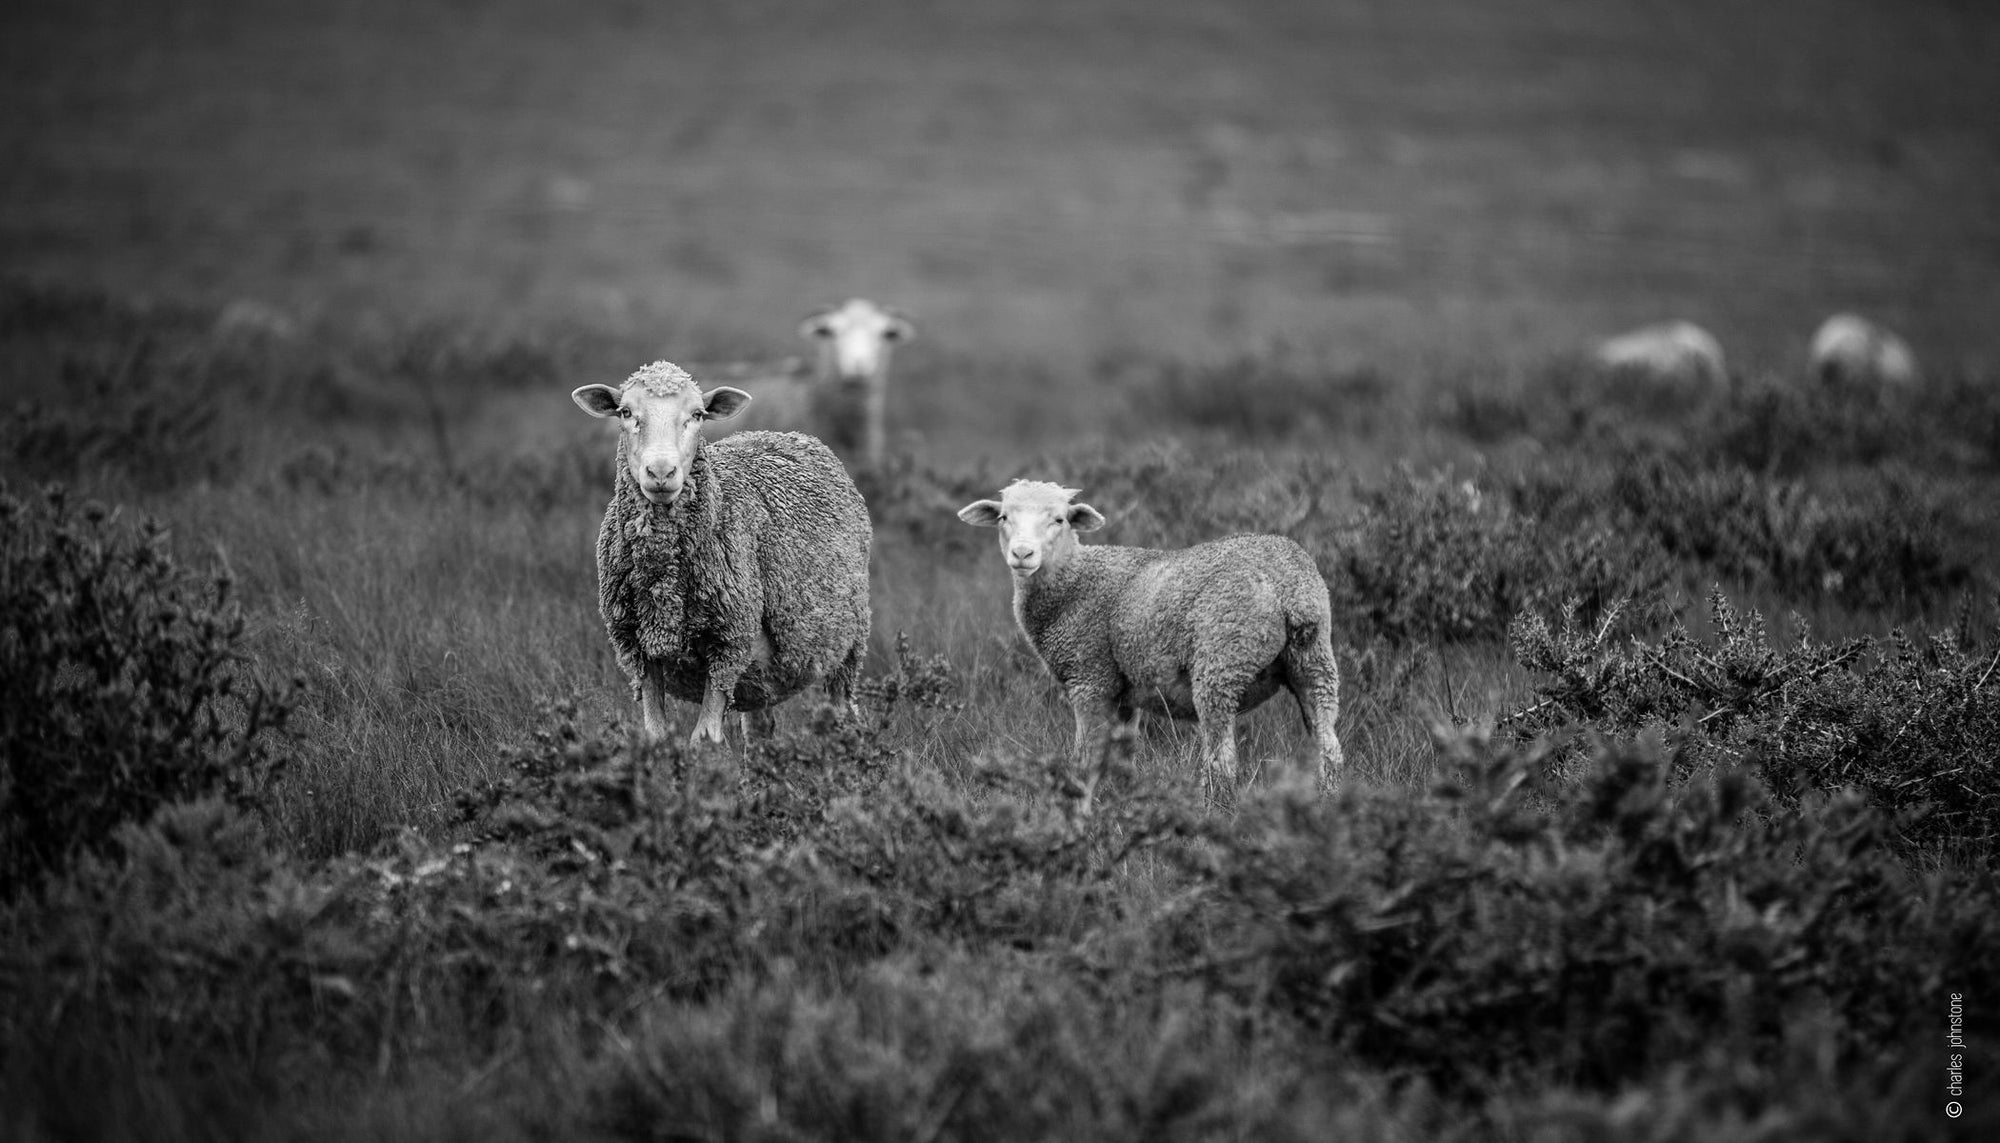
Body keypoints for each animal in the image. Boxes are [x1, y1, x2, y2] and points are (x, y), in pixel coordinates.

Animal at [568, 361, 872, 747]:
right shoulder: (638, 647)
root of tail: (789, 435)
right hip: (759, 678)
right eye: (625, 412)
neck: (663, 583)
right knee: (759, 728)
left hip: (848, 643)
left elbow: (705, 737)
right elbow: (656, 733)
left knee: (845, 710)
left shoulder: (728, 644)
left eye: (697, 415)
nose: (661, 472)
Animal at [956, 479, 1344, 795]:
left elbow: (1085, 753)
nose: (1022, 553)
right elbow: (1121, 755)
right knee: (1329, 747)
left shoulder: (1089, 677)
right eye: (1004, 517)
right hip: (1313, 660)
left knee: (1222, 760)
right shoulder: (1124, 693)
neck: (1074, 582)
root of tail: (1287, 588)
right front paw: (1120, 794)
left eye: (1060, 520)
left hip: (1223, 657)